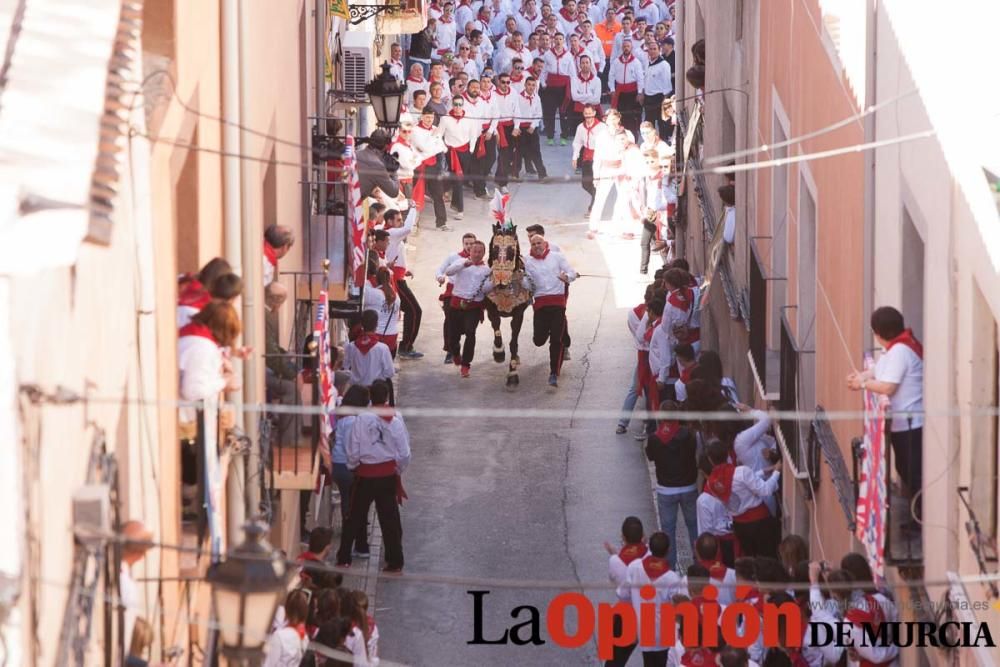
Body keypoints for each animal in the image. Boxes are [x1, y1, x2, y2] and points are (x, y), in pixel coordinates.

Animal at [482, 222, 532, 388]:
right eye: (494, 249)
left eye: (511, 250)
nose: (500, 281)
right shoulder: (491, 309)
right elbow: (496, 327)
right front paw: (499, 353)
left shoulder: (518, 314)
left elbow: (514, 343)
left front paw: (512, 375)